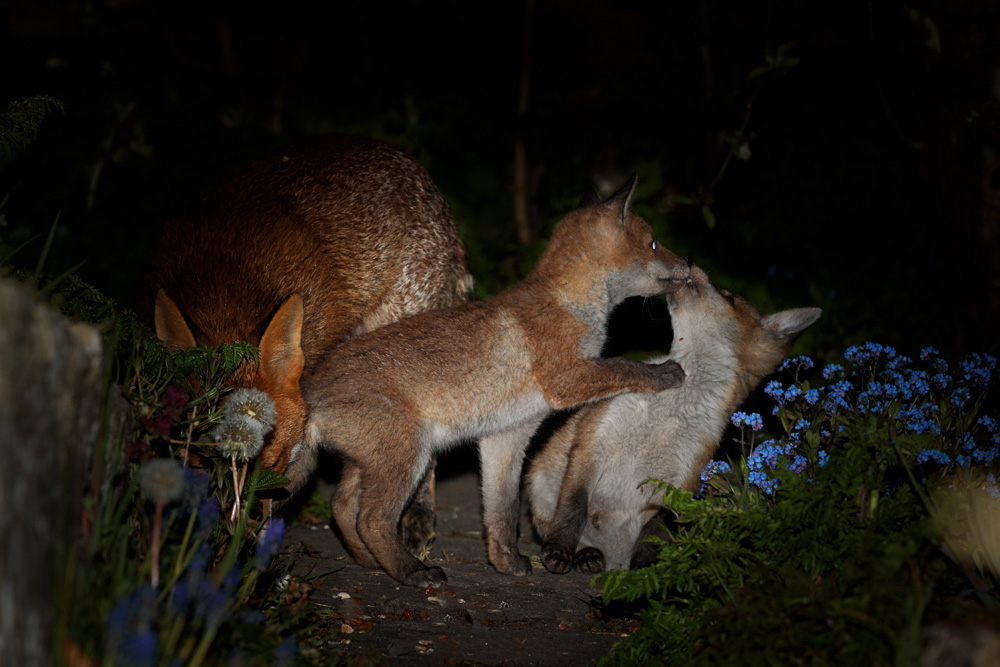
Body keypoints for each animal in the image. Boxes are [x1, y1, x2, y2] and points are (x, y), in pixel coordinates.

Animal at [136, 134, 474, 541]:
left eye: (273, 463)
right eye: (205, 463)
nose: (239, 536)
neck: (222, 300)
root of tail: (420, 173)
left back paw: (417, 511)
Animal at [289, 175, 689, 587]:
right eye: (654, 243)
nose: (689, 263)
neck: (569, 304)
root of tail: (310, 391)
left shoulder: (507, 435)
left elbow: (503, 513)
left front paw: (506, 562)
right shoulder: (566, 378)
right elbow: (624, 366)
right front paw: (663, 372)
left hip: (370, 461)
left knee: (341, 507)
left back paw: (371, 563)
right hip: (409, 454)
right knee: (371, 519)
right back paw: (413, 571)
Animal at [526, 262, 821, 573]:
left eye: (729, 298)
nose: (690, 262)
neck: (669, 415)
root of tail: (614, 559)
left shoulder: (684, 484)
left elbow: (656, 531)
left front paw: (647, 566)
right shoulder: (593, 444)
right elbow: (573, 509)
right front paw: (560, 549)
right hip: (539, 487)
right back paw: (586, 554)